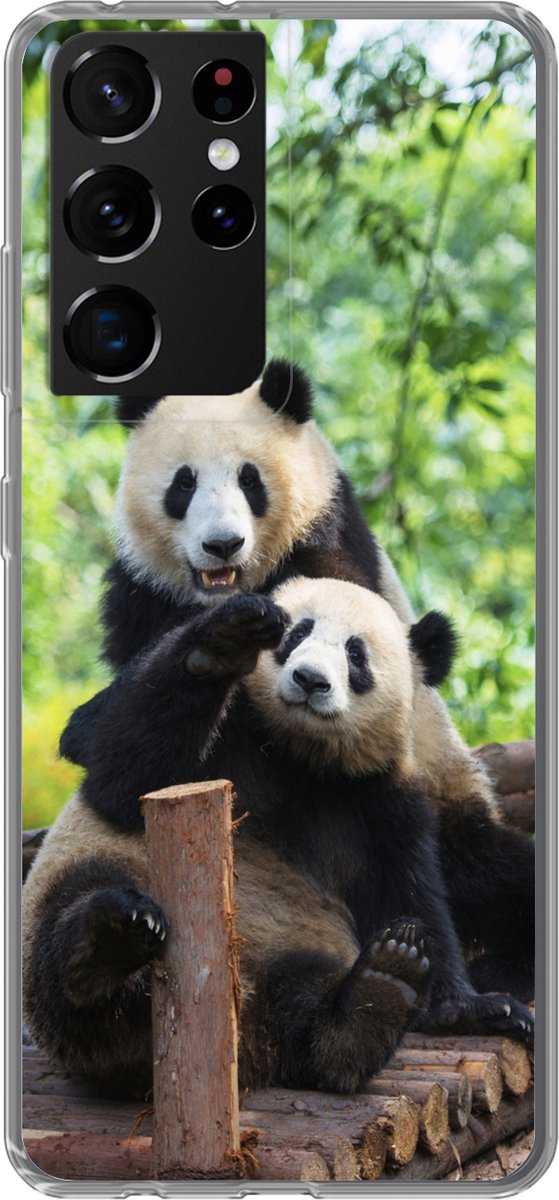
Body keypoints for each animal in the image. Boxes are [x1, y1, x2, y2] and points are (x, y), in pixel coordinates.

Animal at [24, 578, 533, 1097]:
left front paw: (468, 1005)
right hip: (93, 881)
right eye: (296, 633)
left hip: (288, 953)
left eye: (355, 654)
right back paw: (111, 942)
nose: (309, 679)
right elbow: (123, 777)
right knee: (74, 917)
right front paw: (223, 642)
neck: (299, 755)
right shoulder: (225, 741)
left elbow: (410, 891)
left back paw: (374, 999)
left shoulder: (380, 800)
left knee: (301, 1005)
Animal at [60, 360, 534, 1002]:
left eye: (250, 480)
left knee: (497, 873)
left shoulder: (329, 548)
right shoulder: (141, 592)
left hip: (450, 797)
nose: (223, 544)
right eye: (183, 483)